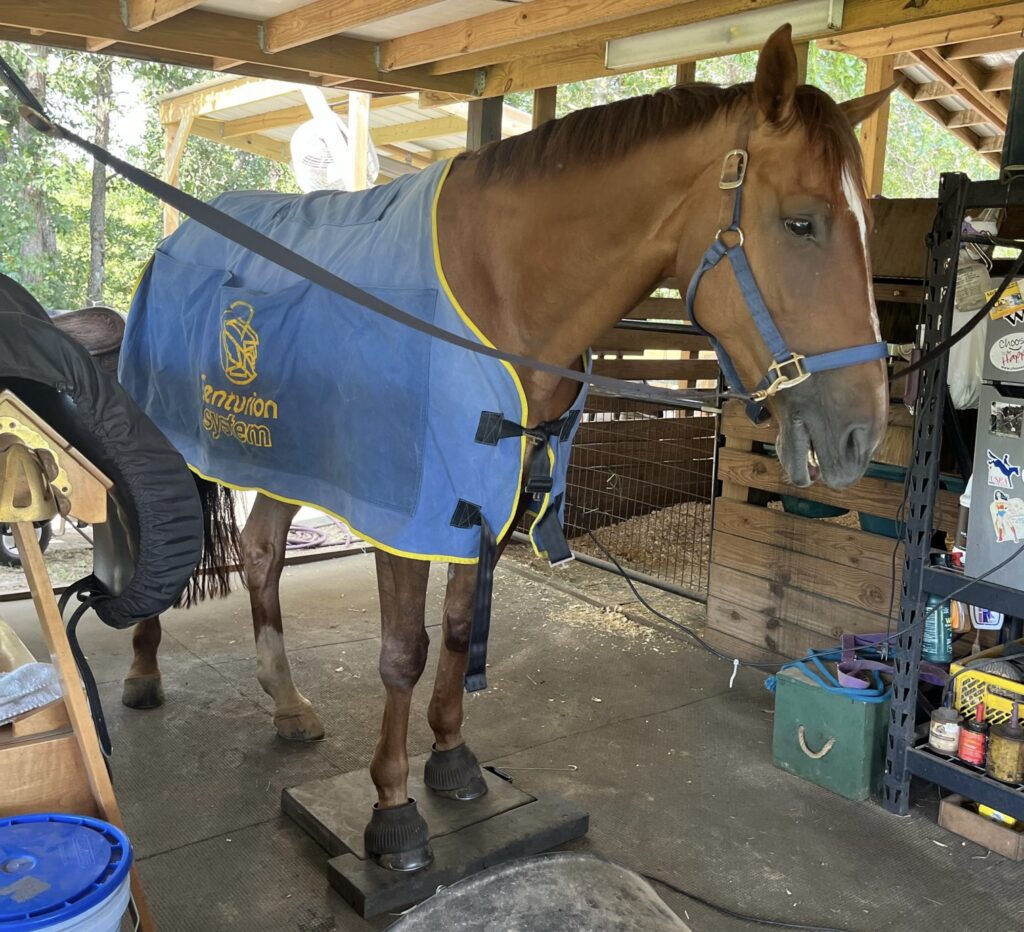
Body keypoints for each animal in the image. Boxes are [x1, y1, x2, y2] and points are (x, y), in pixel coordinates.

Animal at [117, 29, 888, 872]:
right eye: (802, 223)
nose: (865, 431)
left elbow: (460, 627)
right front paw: (394, 813)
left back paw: (287, 705)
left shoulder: (488, 491)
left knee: (259, 556)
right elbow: (404, 650)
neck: (496, 291)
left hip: (282, 460)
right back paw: (143, 671)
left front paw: (453, 760)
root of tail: (175, 240)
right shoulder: (408, 513)